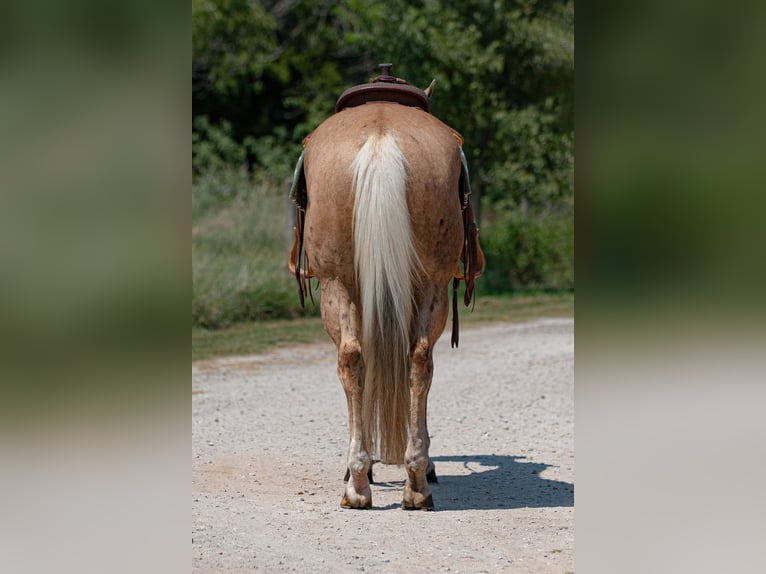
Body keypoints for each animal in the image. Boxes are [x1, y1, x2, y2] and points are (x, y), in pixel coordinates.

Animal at [292, 68, 484, 512]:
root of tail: (381, 139)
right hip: (424, 284)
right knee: (413, 360)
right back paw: (412, 481)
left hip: (342, 284)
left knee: (357, 361)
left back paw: (365, 483)